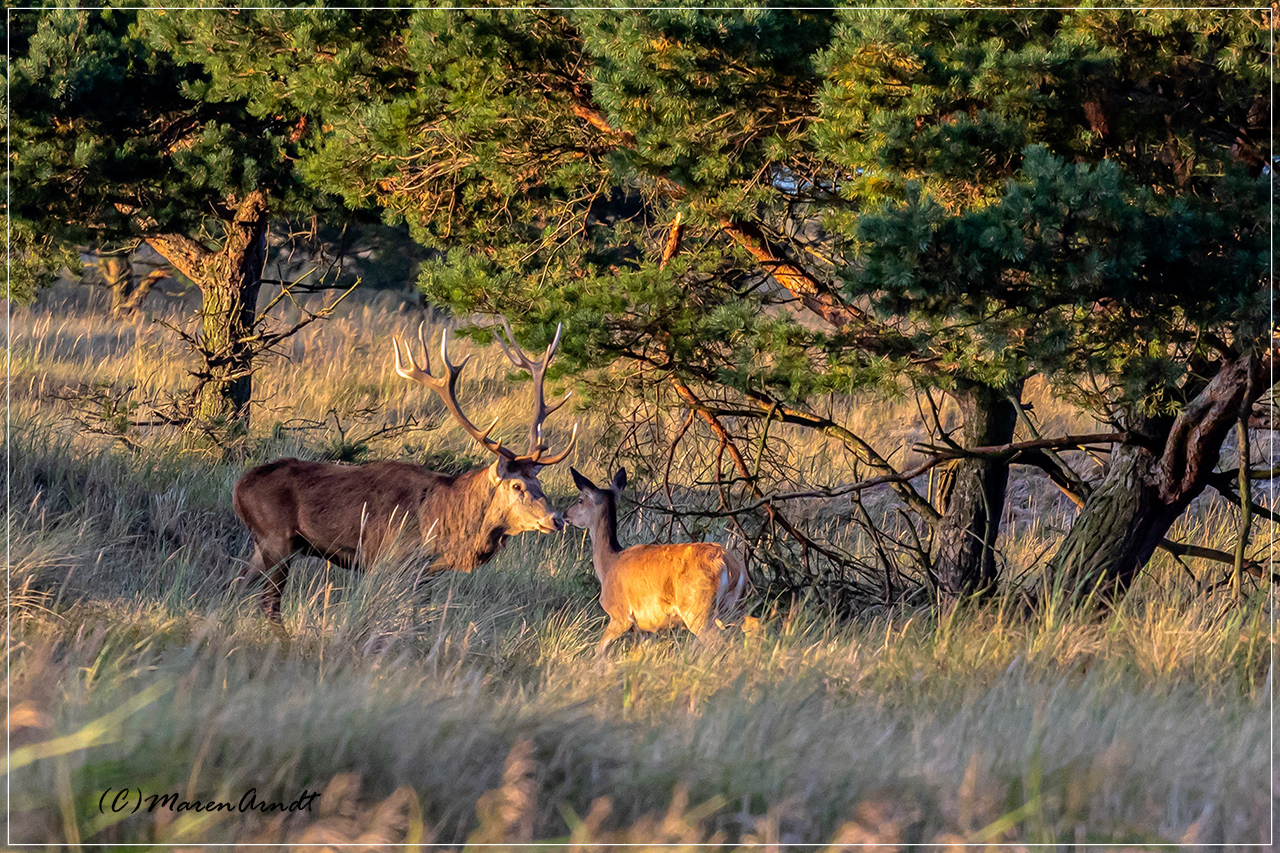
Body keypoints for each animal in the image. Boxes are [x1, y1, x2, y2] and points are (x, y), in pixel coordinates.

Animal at [232, 317, 578, 617]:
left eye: (539, 484)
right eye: (516, 485)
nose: (556, 519)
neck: (442, 524)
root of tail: (239, 489)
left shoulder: (423, 574)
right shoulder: (387, 559)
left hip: (265, 546)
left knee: (236, 586)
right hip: (276, 540)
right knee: (268, 604)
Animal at [568, 466, 747, 650]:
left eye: (580, 500)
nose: (565, 515)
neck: (608, 564)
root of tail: (729, 564)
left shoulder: (620, 615)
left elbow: (600, 649)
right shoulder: (647, 628)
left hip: (698, 608)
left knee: (717, 642)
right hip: (733, 608)